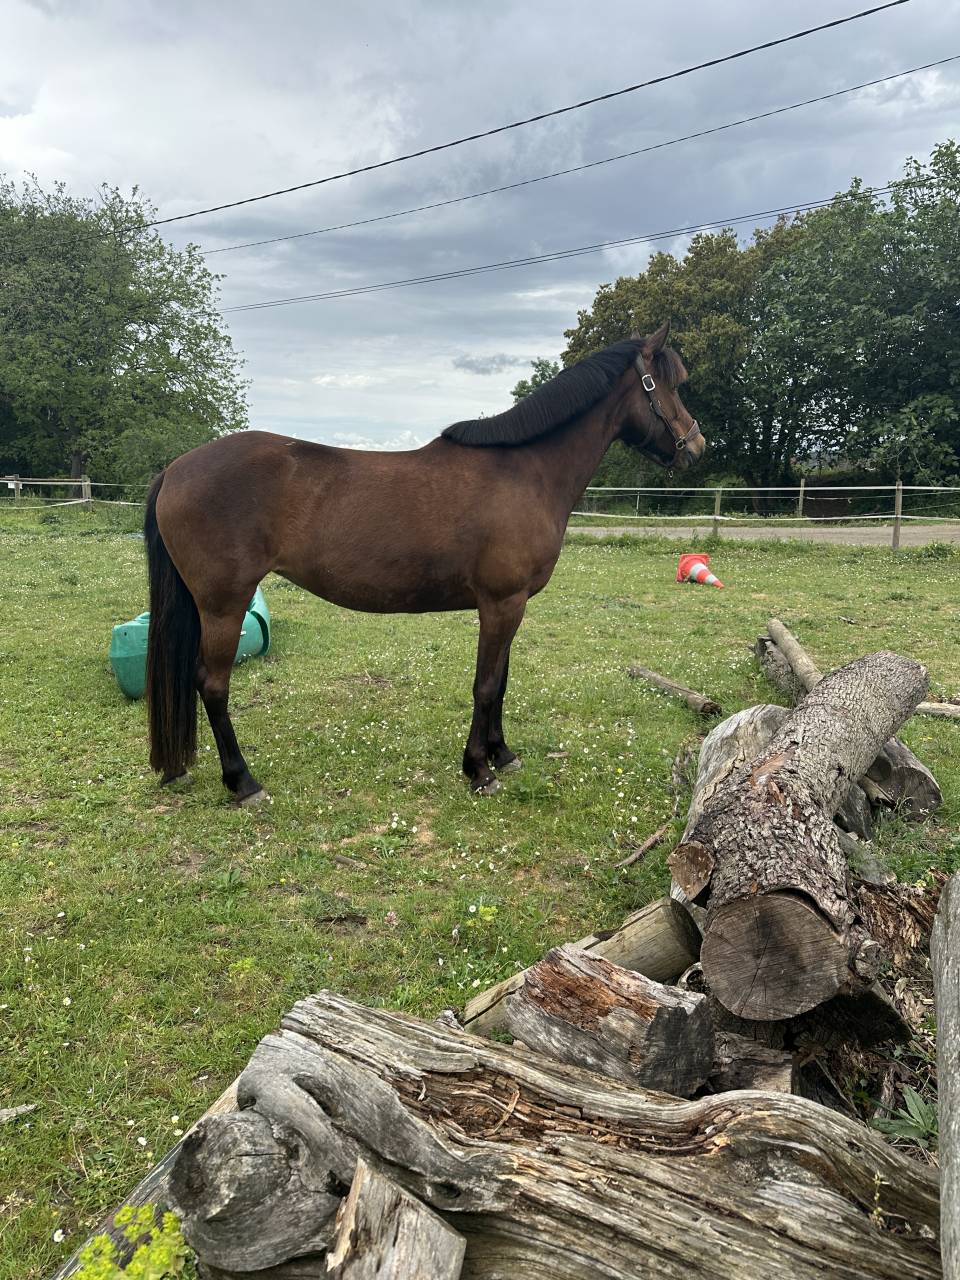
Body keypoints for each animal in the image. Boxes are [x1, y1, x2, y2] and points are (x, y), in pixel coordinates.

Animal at [144, 322, 704, 804]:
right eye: (669, 385)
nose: (696, 444)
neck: (525, 471)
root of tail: (174, 469)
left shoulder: (512, 605)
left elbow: (501, 681)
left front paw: (502, 755)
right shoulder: (501, 603)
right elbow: (485, 684)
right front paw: (478, 769)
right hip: (224, 605)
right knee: (212, 685)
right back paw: (243, 782)